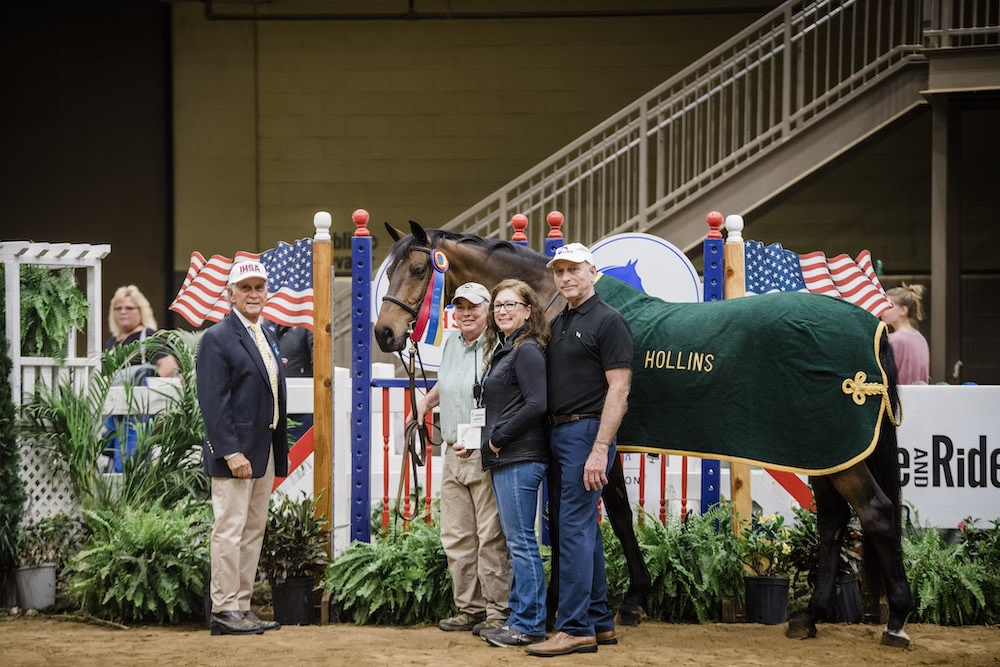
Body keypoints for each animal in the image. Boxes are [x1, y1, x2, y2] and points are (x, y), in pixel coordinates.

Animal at [374, 223, 916, 648]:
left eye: (419, 270)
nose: (383, 333)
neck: (556, 311)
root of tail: (873, 327)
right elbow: (612, 512)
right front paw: (627, 599)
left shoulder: (584, 442)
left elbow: (590, 514)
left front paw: (593, 603)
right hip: (823, 451)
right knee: (833, 520)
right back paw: (811, 616)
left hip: (838, 455)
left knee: (876, 513)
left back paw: (897, 620)